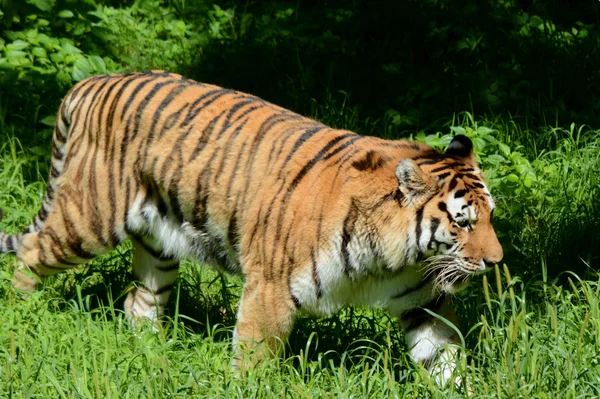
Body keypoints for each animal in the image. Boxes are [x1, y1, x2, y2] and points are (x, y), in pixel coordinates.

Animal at [1, 70, 502, 386]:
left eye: (491, 217)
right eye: (462, 222)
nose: (496, 261)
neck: (395, 258)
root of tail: (92, 81)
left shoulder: (423, 299)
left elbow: (445, 358)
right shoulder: (271, 289)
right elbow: (254, 357)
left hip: (159, 244)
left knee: (138, 302)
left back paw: (152, 354)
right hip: (88, 219)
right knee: (29, 253)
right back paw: (22, 317)